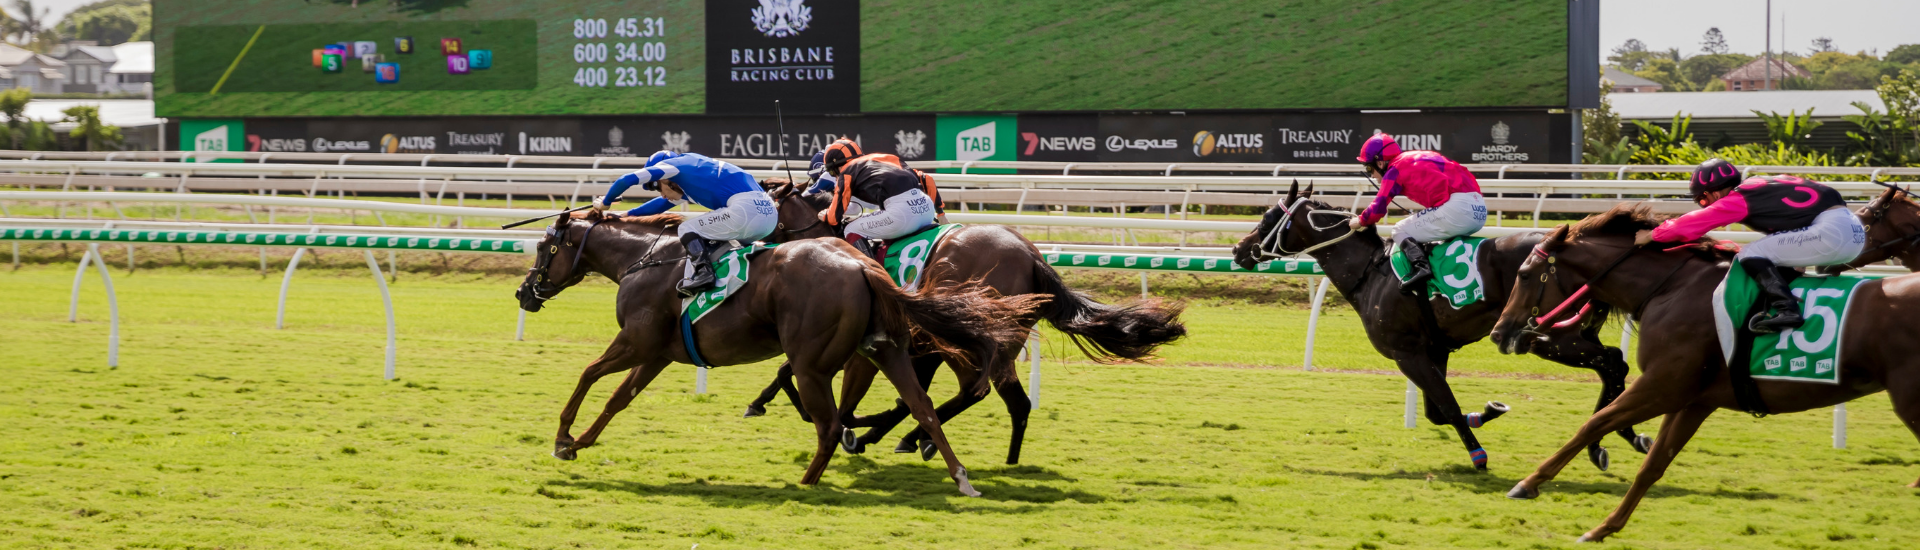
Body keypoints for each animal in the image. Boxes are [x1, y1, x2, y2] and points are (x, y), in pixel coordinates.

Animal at [518, 210, 1044, 492]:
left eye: (544, 249)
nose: (525, 292)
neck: (644, 259)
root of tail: (864, 268)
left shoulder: (635, 341)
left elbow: (588, 374)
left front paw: (562, 436)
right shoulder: (658, 353)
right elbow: (617, 399)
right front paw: (579, 443)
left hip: (814, 363)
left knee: (831, 424)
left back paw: (809, 479)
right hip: (886, 351)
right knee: (924, 407)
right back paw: (957, 474)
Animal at [744, 180, 1182, 463]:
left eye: (769, 210)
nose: (753, 249)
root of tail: (1031, 254)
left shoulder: (869, 346)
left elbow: (806, 377)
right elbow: (791, 371)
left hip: (965, 341)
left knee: (976, 390)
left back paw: (913, 439)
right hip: (998, 344)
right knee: (1014, 402)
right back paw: (994, 456)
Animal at [1228, 182, 1651, 471]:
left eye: (1267, 218)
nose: (1237, 250)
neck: (1372, 273)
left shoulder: (1406, 352)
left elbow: (1446, 405)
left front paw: (1478, 456)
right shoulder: (1435, 349)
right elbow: (1438, 411)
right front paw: (1489, 411)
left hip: (1547, 336)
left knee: (1612, 362)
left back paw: (1608, 438)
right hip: (1575, 331)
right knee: (1612, 364)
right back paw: (1617, 437)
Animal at [1489, 203, 1920, 542]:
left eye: (1524, 274)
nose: (1500, 332)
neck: (1671, 288)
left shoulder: (1662, 386)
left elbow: (1593, 424)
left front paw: (1528, 483)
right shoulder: (1693, 400)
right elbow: (1653, 464)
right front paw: (1603, 528)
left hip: (1909, 401)